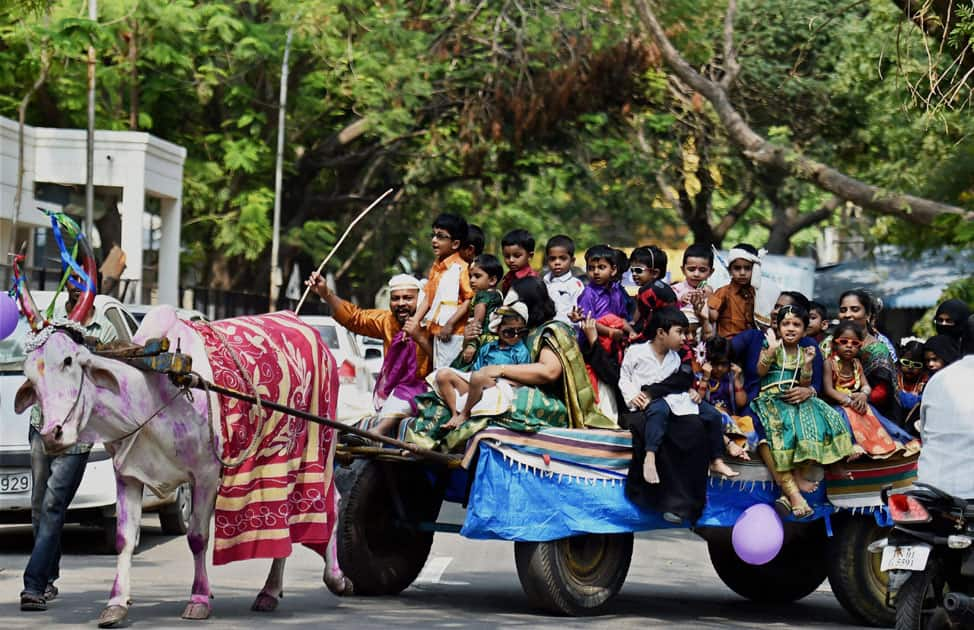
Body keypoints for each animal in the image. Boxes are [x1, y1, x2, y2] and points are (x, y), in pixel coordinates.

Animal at [15, 306, 352, 628]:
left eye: (68, 361)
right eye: (29, 373)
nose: (52, 435)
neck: (154, 390)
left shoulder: (205, 475)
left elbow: (197, 538)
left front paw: (199, 598)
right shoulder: (127, 475)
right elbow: (124, 540)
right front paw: (116, 604)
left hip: (322, 446)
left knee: (332, 502)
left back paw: (334, 578)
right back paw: (270, 591)